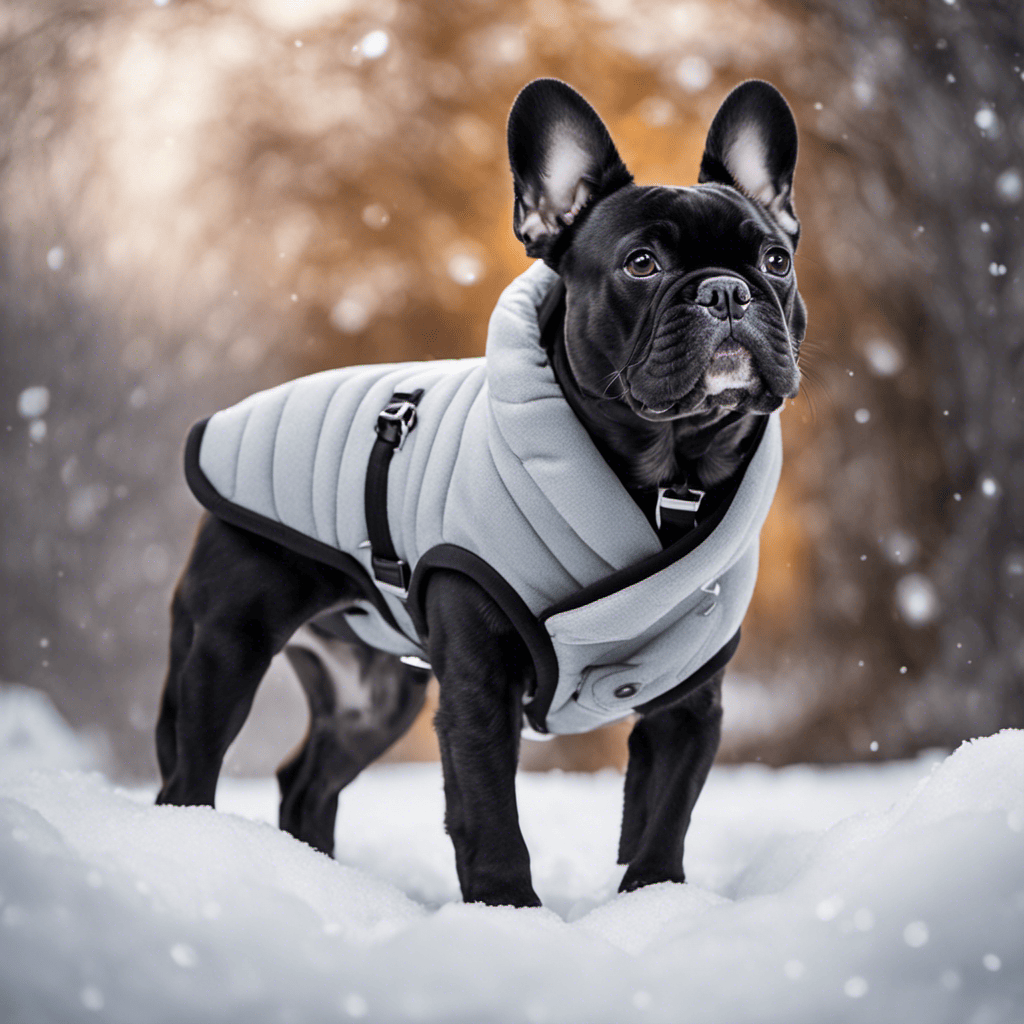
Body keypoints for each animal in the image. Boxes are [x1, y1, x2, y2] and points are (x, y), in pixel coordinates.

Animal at [155, 77, 802, 905]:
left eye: (776, 260)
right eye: (642, 264)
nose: (726, 291)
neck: (670, 475)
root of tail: (234, 418)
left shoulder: (689, 701)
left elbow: (665, 813)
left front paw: (654, 900)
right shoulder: (478, 690)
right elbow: (491, 814)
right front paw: (509, 911)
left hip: (375, 698)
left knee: (306, 782)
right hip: (224, 649)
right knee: (189, 772)